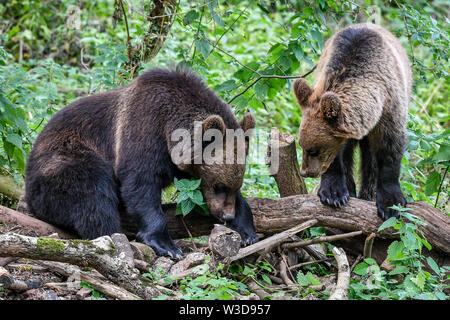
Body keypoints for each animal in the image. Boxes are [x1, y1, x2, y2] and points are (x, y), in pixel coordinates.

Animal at [294, 23, 414, 221]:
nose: (305, 172)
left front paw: (390, 204)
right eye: (301, 145)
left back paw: (368, 194)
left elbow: (389, 149)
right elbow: (338, 156)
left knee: (370, 162)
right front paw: (334, 193)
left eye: (313, 150)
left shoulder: (390, 107)